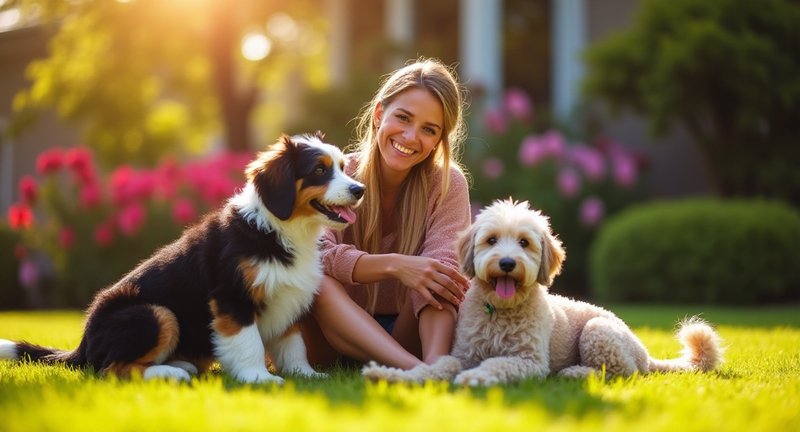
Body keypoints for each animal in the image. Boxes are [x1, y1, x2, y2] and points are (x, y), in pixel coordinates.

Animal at [1, 132, 364, 384]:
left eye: (342, 167)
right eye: (319, 170)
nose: (359, 189)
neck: (281, 228)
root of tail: (83, 344)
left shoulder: (289, 296)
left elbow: (293, 344)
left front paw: (308, 375)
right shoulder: (232, 298)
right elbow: (248, 342)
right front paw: (259, 378)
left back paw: (181, 365)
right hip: (155, 314)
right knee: (109, 368)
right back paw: (170, 374)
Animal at [362, 199, 724, 384]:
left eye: (524, 242)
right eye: (491, 240)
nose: (508, 262)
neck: (500, 311)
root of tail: (647, 354)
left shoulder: (529, 361)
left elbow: (497, 365)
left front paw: (474, 379)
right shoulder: (464, 353)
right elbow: (438, 366)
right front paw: (389, 374)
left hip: (598, 333)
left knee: (624, 373)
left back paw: (576, 372)